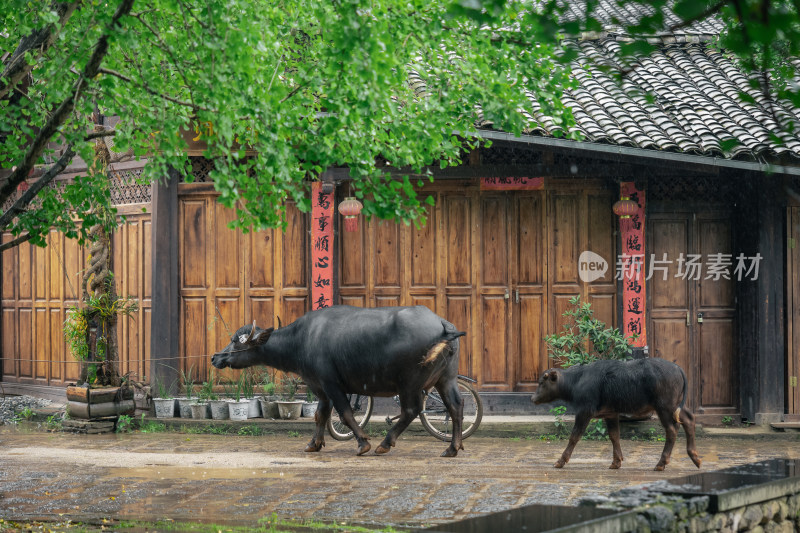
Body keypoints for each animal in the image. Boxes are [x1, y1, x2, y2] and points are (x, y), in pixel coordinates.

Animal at [209, 306, 466, 456]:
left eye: (236, 341)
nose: (215, 357)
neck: (302, 340)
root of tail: (443, 324)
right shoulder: (319, 387)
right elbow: (320, 415)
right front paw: (314, 444)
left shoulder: (331, 384)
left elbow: (345, 414)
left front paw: (363, 443)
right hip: (446, 378)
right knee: (455, 406)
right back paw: (452, 447)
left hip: (409, 383)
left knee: (411, 410)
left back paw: (384, 443)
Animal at [532, 358, 700, 470]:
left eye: (542, 382)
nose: (532, 398)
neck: (577, 380)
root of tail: (677, 368)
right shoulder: (611, 413)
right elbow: (614, 436)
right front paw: (616, 462)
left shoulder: (584, 412)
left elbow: (574, 436)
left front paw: (560, 461)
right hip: (675, 406)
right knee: (689, 420)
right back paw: (694, 457)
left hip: (664, 407)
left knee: (671, 430)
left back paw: (661, 463)